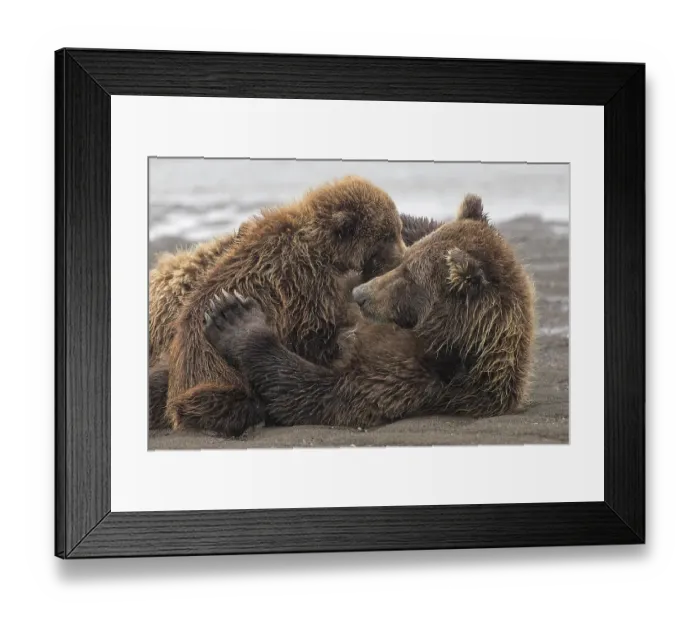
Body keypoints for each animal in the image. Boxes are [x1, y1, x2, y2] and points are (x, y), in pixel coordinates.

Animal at [162, 175, 407, 436]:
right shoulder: (303, 286)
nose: (403, 257)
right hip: (213, 370)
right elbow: (315, 336)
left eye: (397, 230)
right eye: (386, 236)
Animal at [202, 194, 536, 431]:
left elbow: (314, 392)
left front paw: (234, 317)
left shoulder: (409, 380)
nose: (360, 296)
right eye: (403, 264)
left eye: (409, 277)